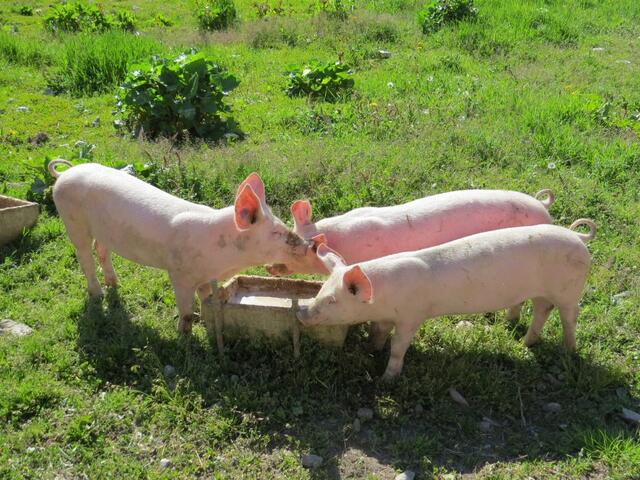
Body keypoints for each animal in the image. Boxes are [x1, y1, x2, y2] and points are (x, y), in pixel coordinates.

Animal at [48, 159, 308, 333]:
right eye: (275, 232)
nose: (306, 244)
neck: (223, 258)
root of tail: (65, 173)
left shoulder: (205, 276)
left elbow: (206, 298)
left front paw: (207, 317)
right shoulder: (179, 273)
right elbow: (185, 309)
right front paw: (184, 335)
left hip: (103, 230)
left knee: (102, 250)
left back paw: (114, 283)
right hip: (72, 221)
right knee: (84, 257)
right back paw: (98, 293)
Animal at [296, 220, 596, 380]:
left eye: (332, 300)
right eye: (320, 292)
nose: (303, 312)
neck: (383, 295)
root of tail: (578, 236)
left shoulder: (411, 316)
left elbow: (398, 346)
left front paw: (387, 378)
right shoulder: (385, 316)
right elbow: (378, 333)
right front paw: (371, 349)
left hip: (570, 289)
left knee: (570, 316)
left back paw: (568, 351)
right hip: (542, 292)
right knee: (542, 310)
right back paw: (525, 344)